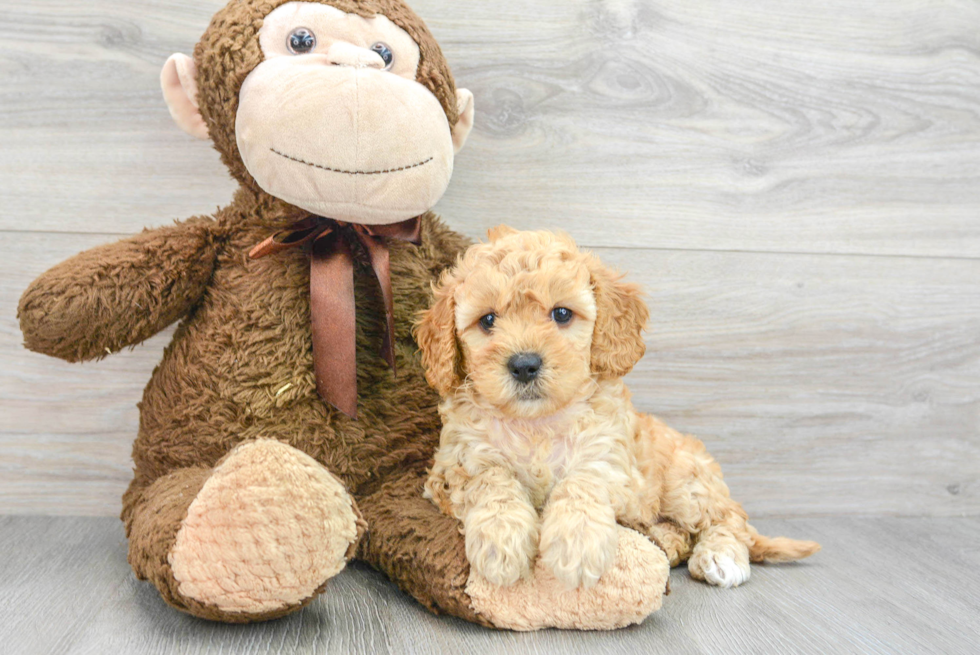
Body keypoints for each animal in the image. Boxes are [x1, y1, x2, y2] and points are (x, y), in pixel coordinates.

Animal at [414, 228, 820, 592]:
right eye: (487, 320)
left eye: (562, 314)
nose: (525, 364)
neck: (538, 424)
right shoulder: (454, 466)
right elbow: (492, 480)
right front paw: (501, 542)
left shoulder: (613, 461)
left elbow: (583, 479)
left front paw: (576, 544)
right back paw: (667, 542)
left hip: (687, 482)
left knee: (729, 518)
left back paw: (721, 556)